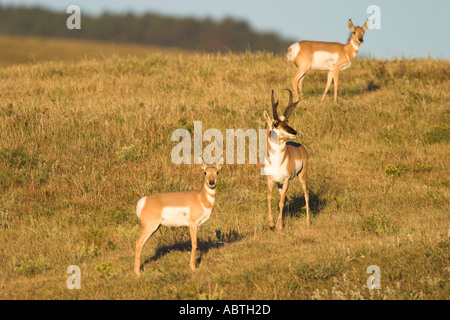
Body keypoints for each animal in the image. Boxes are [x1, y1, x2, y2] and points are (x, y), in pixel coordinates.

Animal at [264, 89, 310, 230]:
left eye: (287, 121)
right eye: (276, 123)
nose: (294, 132)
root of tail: (302, 147)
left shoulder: (286, 181)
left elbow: (280, 202)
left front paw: (279, 226)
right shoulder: (270, 180)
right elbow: (270, 199)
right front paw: (271, 224)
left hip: (302, 176)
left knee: (306, 193)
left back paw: (308, 221)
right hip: (279, 184)